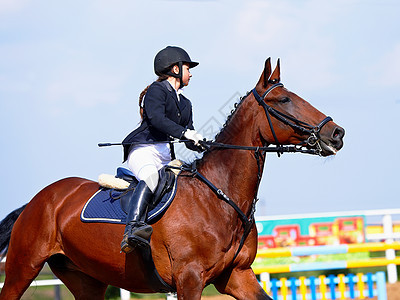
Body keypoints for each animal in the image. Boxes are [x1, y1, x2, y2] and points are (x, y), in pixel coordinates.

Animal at [0, 58, 344, 300]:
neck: (220, 197)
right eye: (283, 101)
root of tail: (37, 200)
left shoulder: (237, 275)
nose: (337, 133)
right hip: (23, 267)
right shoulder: (189, 279)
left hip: (86, 278)